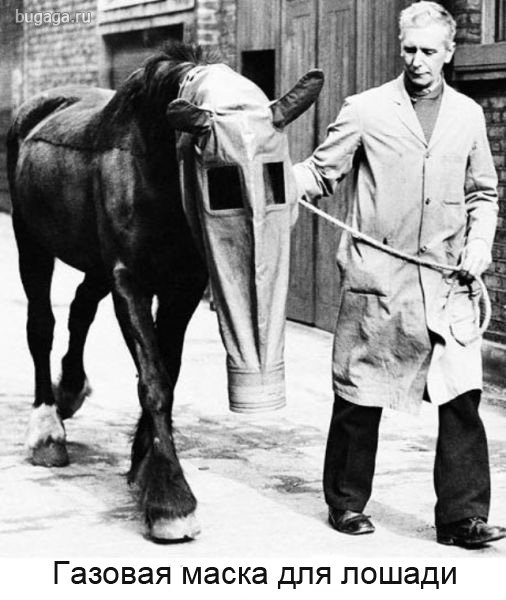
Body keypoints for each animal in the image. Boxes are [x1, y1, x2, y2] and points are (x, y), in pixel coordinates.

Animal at [7, 42, 323, 542]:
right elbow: (152, 379)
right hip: (30, 240)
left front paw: (144, 463)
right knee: (42, 323)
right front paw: (171, 498)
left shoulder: (183, 286)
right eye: (223, 179)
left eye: (275, 177)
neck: (154, 163)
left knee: (80, 308)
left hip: (94, 263)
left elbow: (167, 371)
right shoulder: (130, 282)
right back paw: (46, 428)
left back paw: (71, 389)